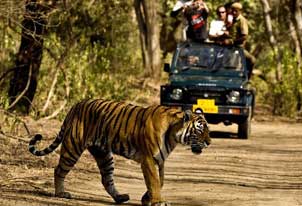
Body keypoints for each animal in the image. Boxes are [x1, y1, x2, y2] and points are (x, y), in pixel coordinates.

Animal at [29, 99, 211, 205]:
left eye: (208, 130)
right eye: (200, 130)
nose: (209, 142)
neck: (173, 135)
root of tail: (76, 105)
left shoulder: (160, 160)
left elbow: (160, 181)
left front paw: (147, 198)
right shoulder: (149, 159)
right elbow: (154, 181)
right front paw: (158, 201)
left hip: (104, 155)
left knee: (106, 179)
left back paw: (120, 197)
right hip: (73, 147)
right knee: (59, 170)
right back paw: (61, 193)